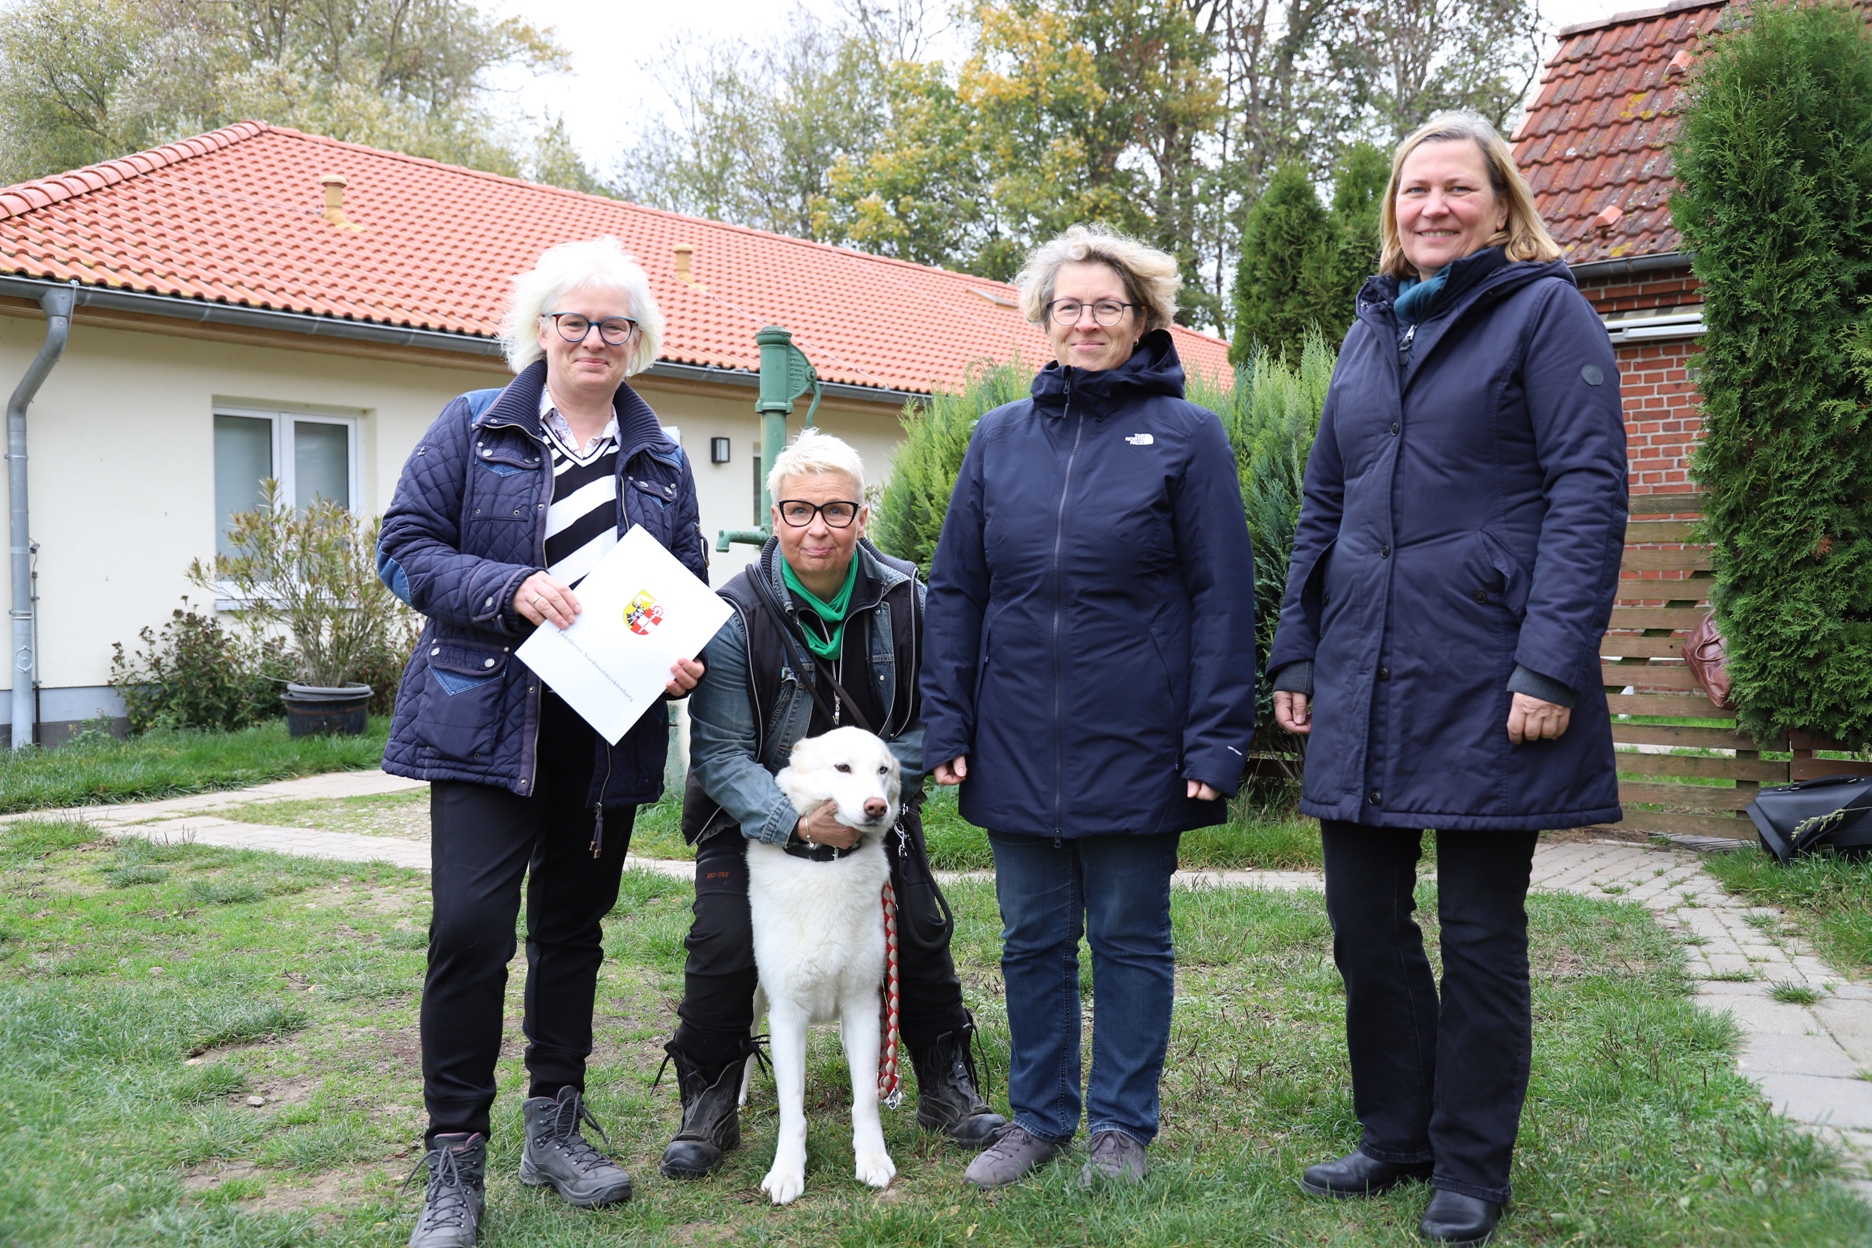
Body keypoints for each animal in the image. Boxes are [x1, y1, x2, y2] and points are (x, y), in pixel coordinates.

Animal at [741, 725, 902, 1204]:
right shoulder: (787, 1016)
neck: (826, 865)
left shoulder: (863, 1006)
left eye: (882, 770)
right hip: (753, 1000)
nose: (876, 807)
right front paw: (786, 1174)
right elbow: (792, 1110)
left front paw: (872, 1160)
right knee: (743, 1047)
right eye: (842, 767)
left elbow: (865, 1099)